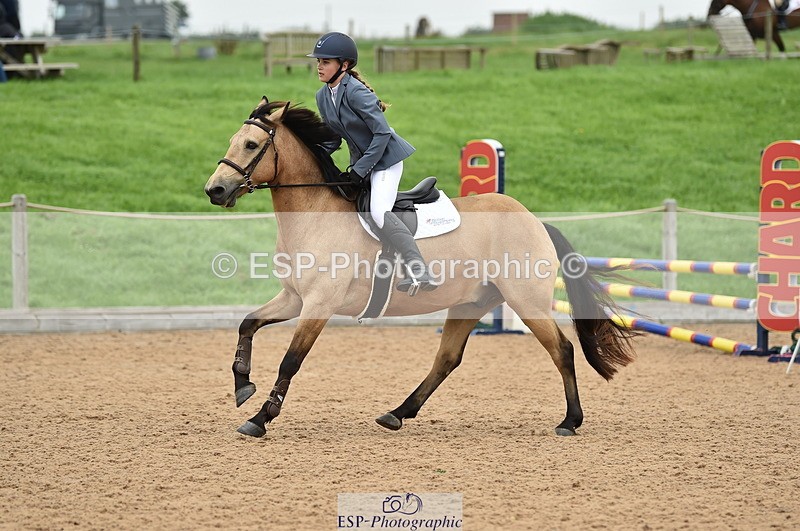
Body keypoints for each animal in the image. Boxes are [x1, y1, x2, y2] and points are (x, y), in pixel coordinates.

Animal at [204, 97, 636, 438]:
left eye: (251, 144)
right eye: (231, 142)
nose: (215, 190)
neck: (315, 214)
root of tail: (534, 220)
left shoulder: (318, 306)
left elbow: (290, 361)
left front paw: (261, 418)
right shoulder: (294, 298)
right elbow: (247, 323)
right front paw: (243, 384)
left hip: (525, 302)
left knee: (562, 349)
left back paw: (570, 421)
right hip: (471, 304)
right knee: (446, 359)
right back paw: (397, 413)